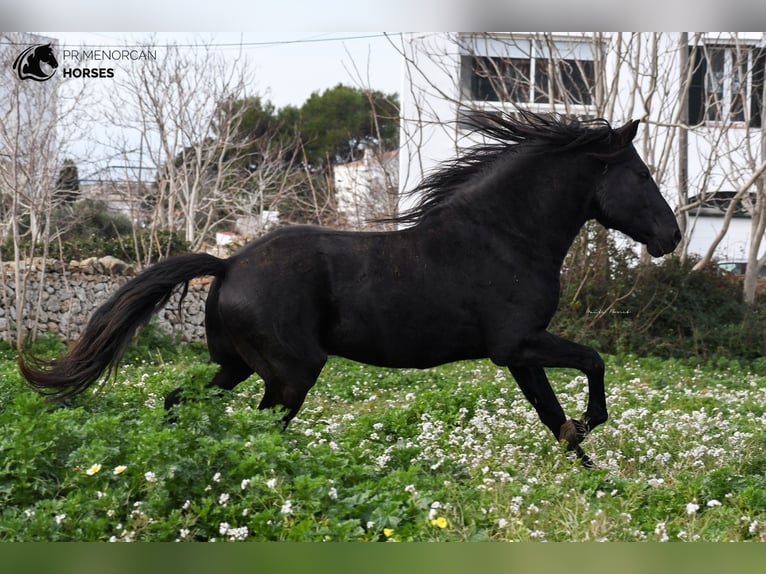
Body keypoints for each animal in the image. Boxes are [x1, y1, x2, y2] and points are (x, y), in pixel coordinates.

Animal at [18, 111, 680, 468]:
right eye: (640, 173)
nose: (671, 236)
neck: (503, 236)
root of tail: (229, 266)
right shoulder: (516, 343)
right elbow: (591, 365)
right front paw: (592, 429)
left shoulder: (519, 353)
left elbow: (551, 415)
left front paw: (592, 471)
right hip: (290, 374)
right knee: (258, 428)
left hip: (236, 366)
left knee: (179, 399)